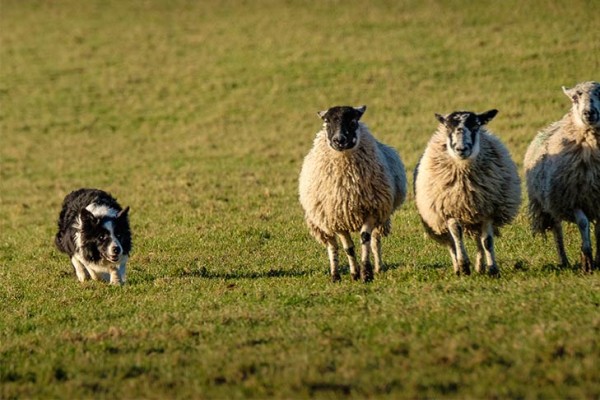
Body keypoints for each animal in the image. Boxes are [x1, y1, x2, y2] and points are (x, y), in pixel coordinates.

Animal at [298, 104, 408, 282]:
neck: (348, 185)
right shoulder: (337, 220)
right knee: (332, 246)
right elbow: (348, 248)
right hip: (321, 223)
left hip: (381, 217)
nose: (339, 140)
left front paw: (366, 273)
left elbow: (365, 239)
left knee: (375, 241)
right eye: (327, 122)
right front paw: (354, 273)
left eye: (353, 121)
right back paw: (335, 275)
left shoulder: (371, 210)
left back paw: (378, 268)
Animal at [414, 110, 524, 278]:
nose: (461, 149)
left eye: (476, 125)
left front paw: (492, 269)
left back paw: (480, 266)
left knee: (479, 241)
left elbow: (487, 241)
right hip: (439, 220)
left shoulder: (487, 211)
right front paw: (464, 266)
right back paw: (458, 268)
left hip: (475, 218)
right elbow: (457, 235)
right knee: (451, 243)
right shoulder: (449, 210)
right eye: (447, 127)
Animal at [524, 81, 600, 272]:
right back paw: (564, 261)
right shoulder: (573, 199)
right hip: (548, 203)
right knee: (557, 231)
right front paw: (587, 259)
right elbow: (583, 223)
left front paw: (597, 259)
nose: (589, 113)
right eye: (575, 98)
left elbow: (598, 230)